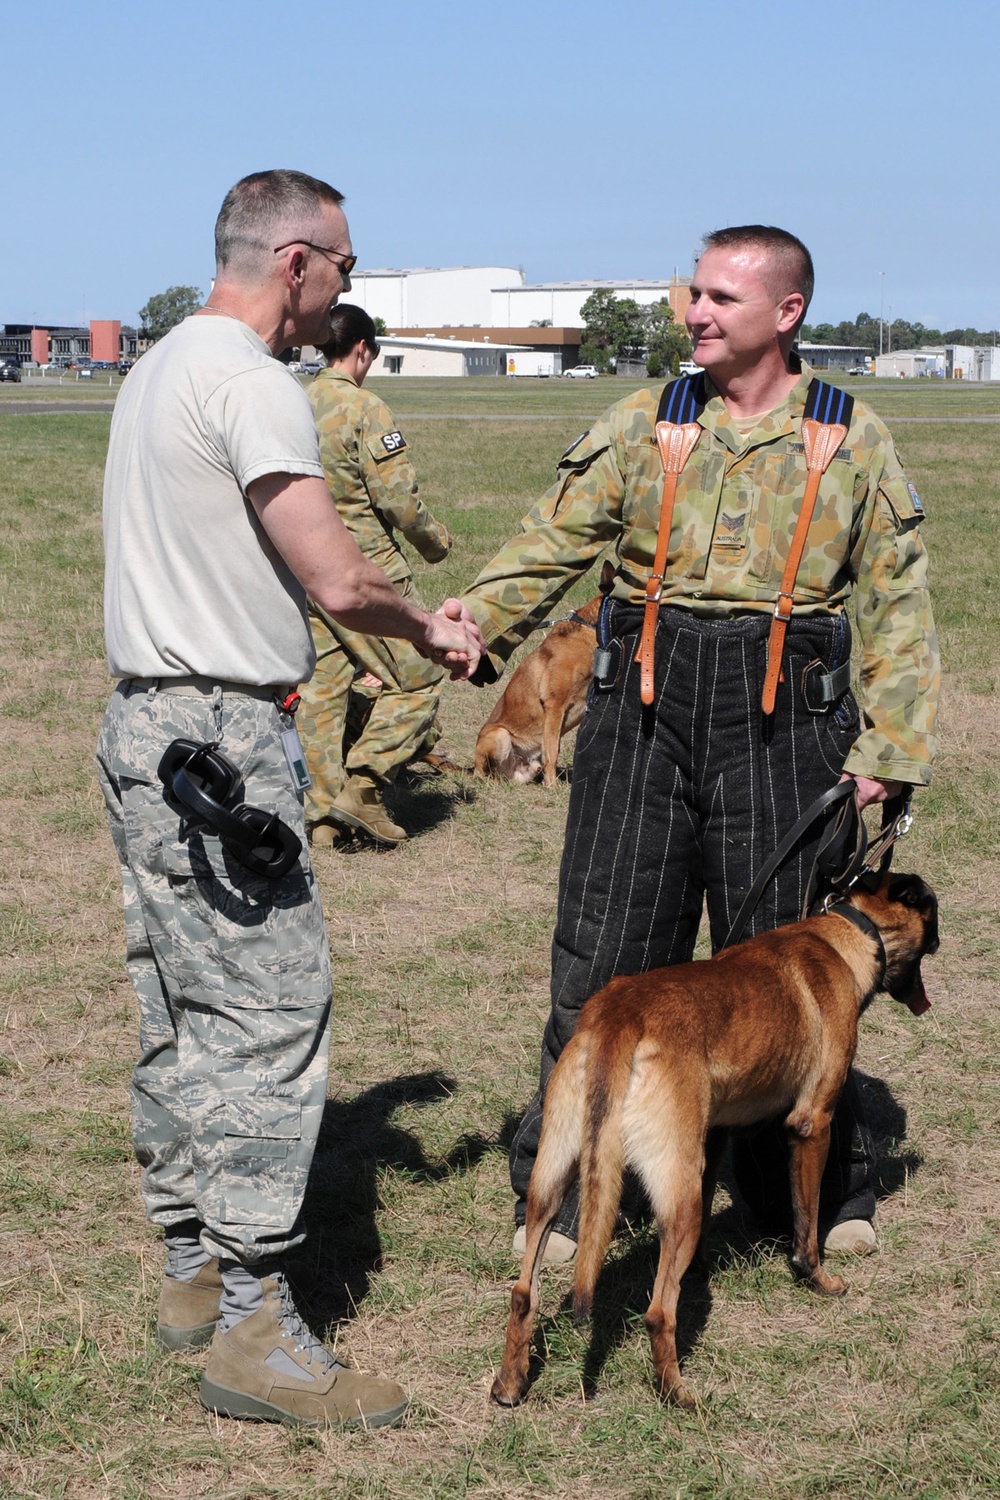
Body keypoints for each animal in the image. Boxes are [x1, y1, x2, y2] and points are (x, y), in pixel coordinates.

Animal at [491, 876, 941, 1410]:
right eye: (933, 916)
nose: (940, 942)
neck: (845, 932)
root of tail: (618, 1017)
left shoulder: (714, 1135)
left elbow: (711, 1215)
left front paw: (702, 1268)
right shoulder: (812, 1124)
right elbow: (807, 1223)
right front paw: (817, 1279)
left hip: (552, 1182)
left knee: (524, 1293)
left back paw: (510, 1383)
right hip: (675, 1197)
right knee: (657, 1313)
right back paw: (677, 1394)